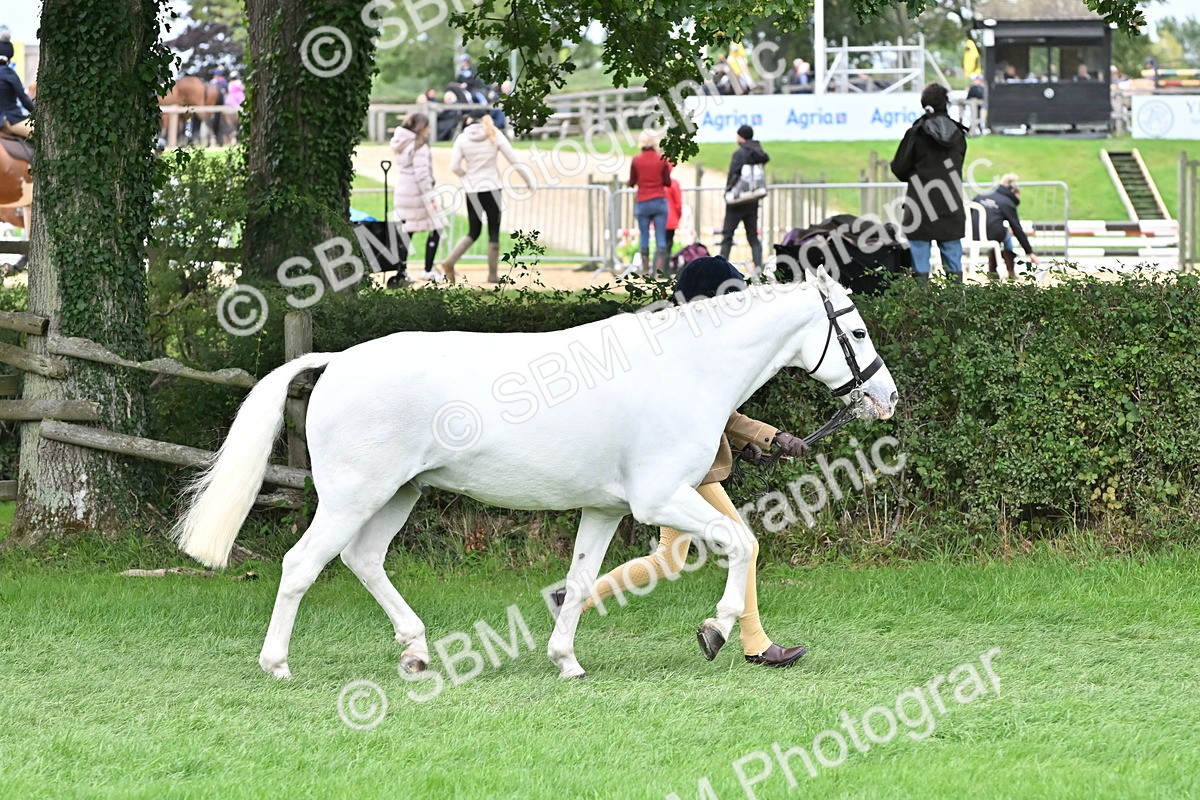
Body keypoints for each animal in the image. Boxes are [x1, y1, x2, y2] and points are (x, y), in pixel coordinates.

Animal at [173, 271, 899, 681]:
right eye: (860, 333)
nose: (887, 398)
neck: (686, 369)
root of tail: (338, 362)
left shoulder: (607, 509)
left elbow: (577, 583)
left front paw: (566, 662)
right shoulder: (660, 499)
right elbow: (742, 543)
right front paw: (715, 631)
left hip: (397, 495)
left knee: (364, 560)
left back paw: (416, 651)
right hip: (356, 495)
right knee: (302, 565)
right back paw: (277, 665)